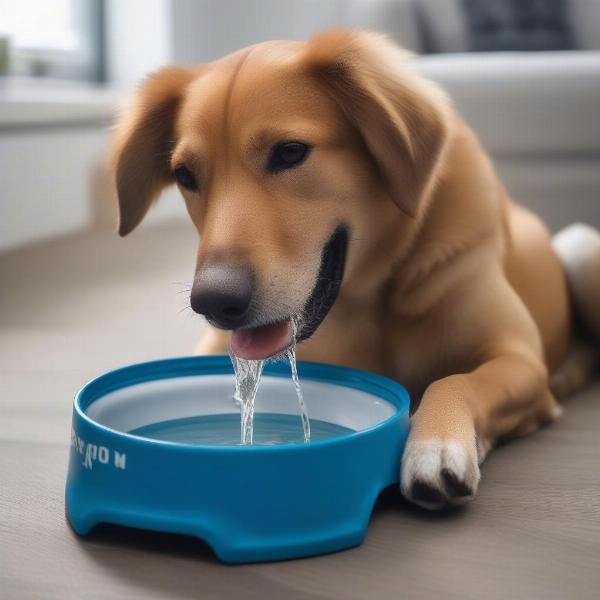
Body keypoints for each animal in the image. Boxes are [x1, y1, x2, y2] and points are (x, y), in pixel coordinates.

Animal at [109, 30, 600, 510]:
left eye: (290, 152)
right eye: (185, 175)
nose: (213, 302)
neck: (374, 293)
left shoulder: (518, 359)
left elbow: (455, 381)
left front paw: (436, 443)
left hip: (581, 248)